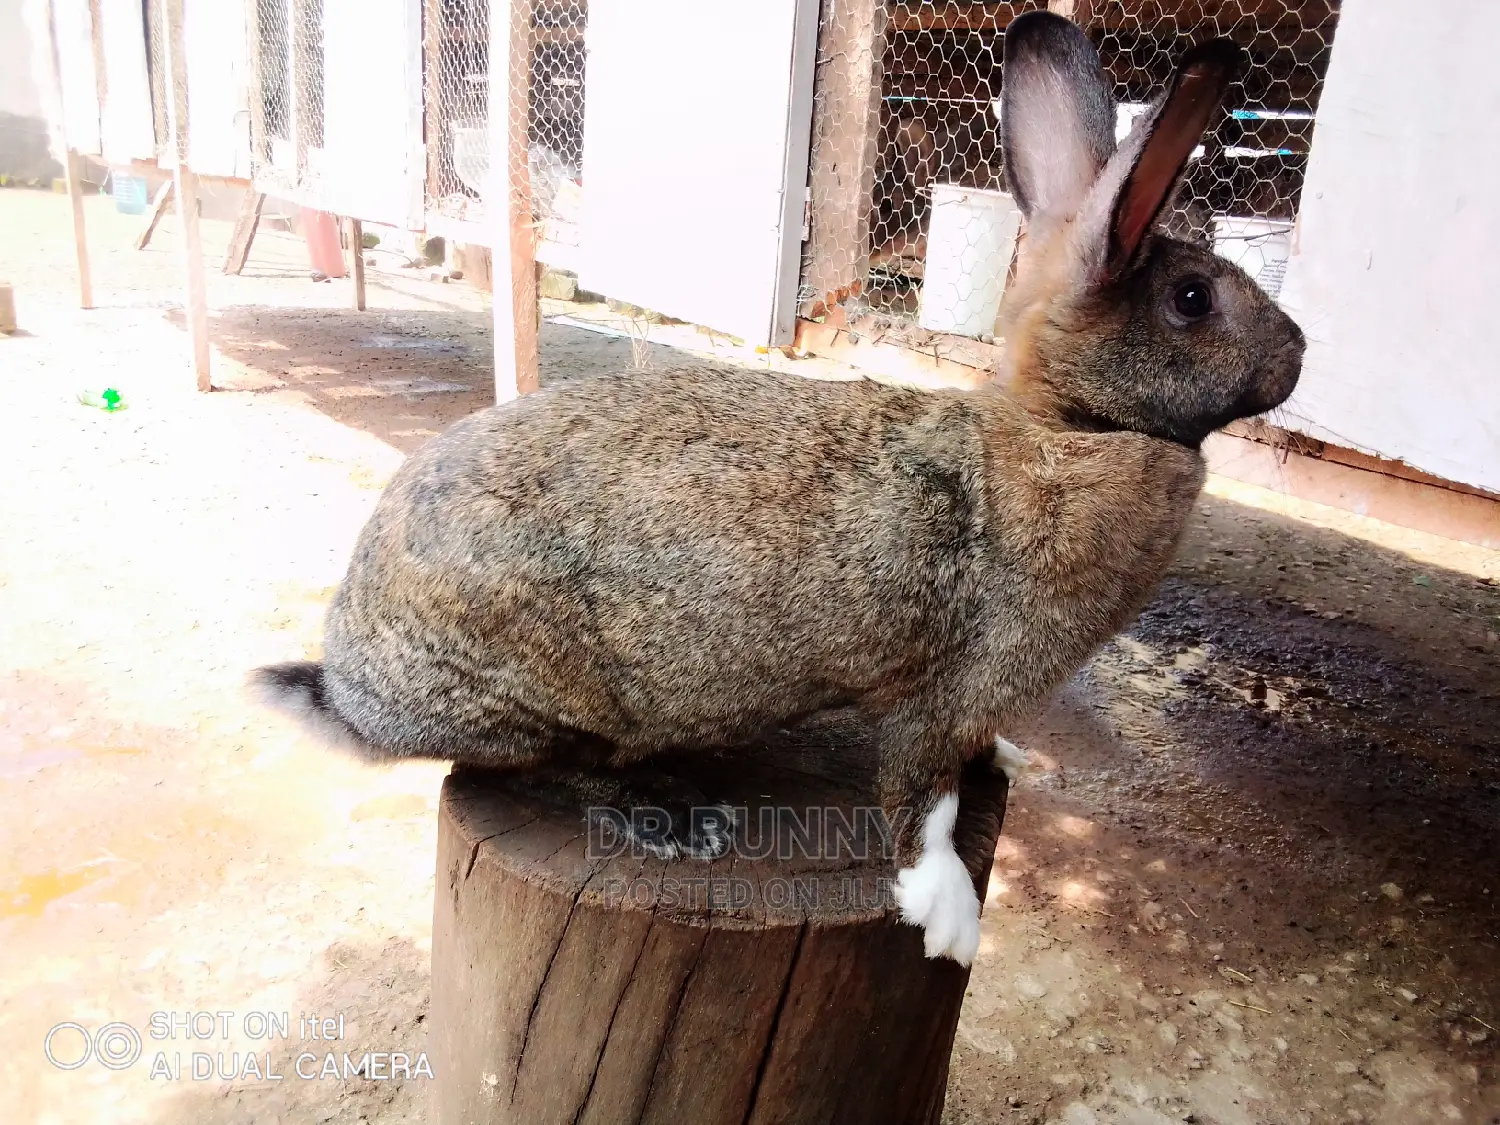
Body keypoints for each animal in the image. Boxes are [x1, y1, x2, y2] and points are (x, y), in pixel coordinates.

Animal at [251, 12, 1303, 966]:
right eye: (1194, 300)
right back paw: (674, 816)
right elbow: (922, 800)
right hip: (543, 696)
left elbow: (968, 760)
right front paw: (950, 919)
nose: (1296, 353)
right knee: (546, 768)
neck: (1073, 428)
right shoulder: (949, 687)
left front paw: (1008, 761)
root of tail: (348, 687)